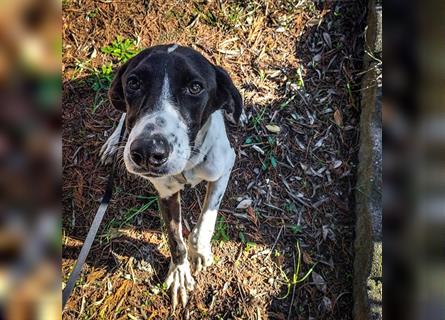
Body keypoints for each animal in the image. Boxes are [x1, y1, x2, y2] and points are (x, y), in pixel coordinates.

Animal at [99, 44, 241, 308]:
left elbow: (206, 221)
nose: (146, 152)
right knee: (123, 118)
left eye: (195, 87)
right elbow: (176, 241)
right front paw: (179, 274)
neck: (189, 162)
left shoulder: (224, 168)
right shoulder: (166, 194)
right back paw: (114, 143)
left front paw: (200, 251)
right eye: (133, 82)